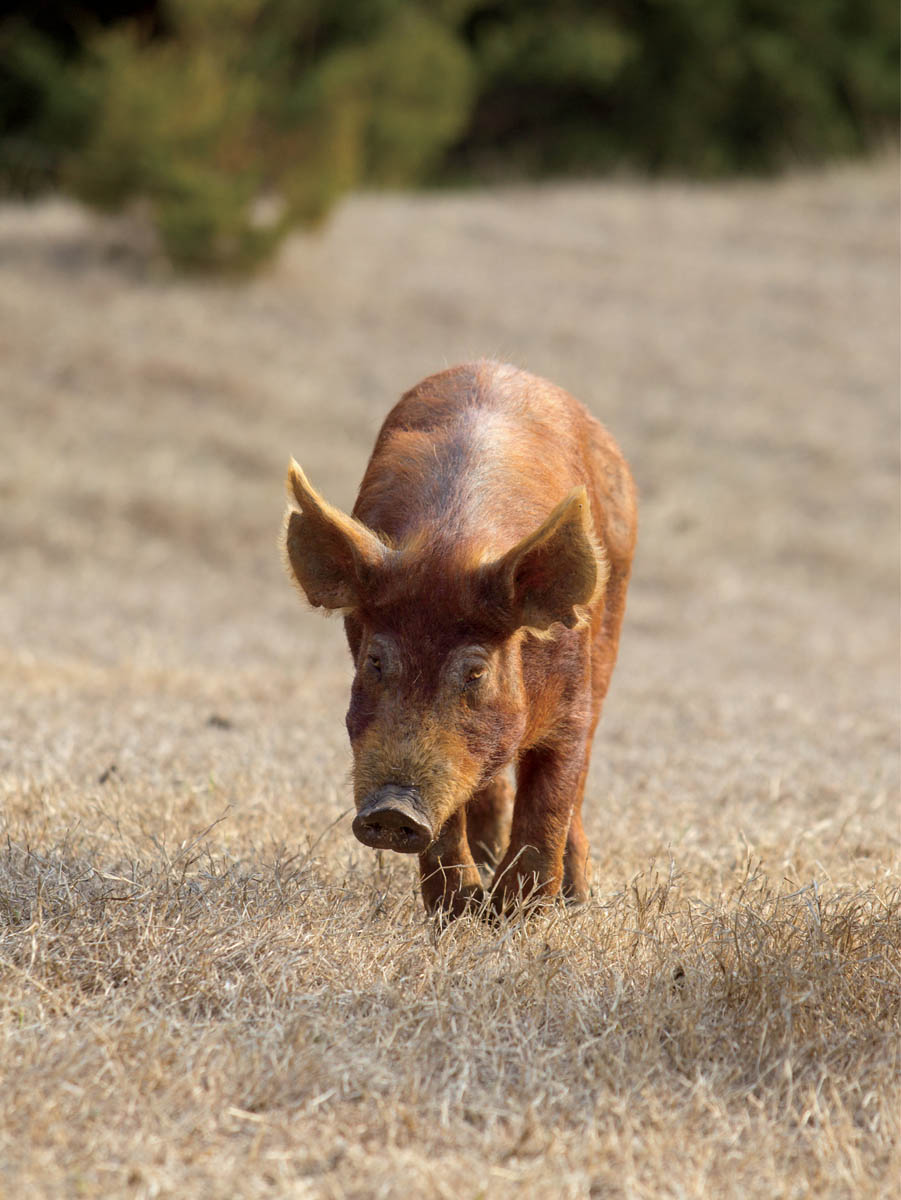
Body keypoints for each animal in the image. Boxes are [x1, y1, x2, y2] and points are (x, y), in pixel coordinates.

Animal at [285, 360, 638, 912]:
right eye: (376, 661)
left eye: (475, 672)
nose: (392, 810)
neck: (451, 544)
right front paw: (462, 910)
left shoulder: (573, 699)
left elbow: (553, 795)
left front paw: (518, 914)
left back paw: (575, 894)